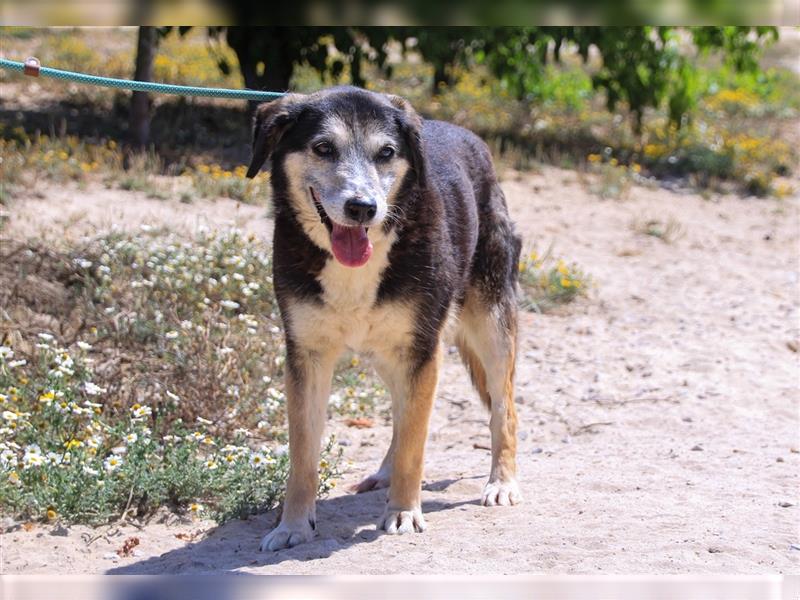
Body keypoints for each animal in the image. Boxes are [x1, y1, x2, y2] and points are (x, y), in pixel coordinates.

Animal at [247, 86, 520, 552]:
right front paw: (293, 525)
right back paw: (385, 473)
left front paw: (404, 512)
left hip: (490, 324)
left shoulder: (421, 350)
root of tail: (469, 136)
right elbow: (303, 453)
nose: (362, 208)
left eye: (387, 152)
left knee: (503, 408)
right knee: (402, 411)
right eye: (323, 148)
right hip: (387, 353)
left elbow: (415, 443)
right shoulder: (306, 356)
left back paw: (501, 482)